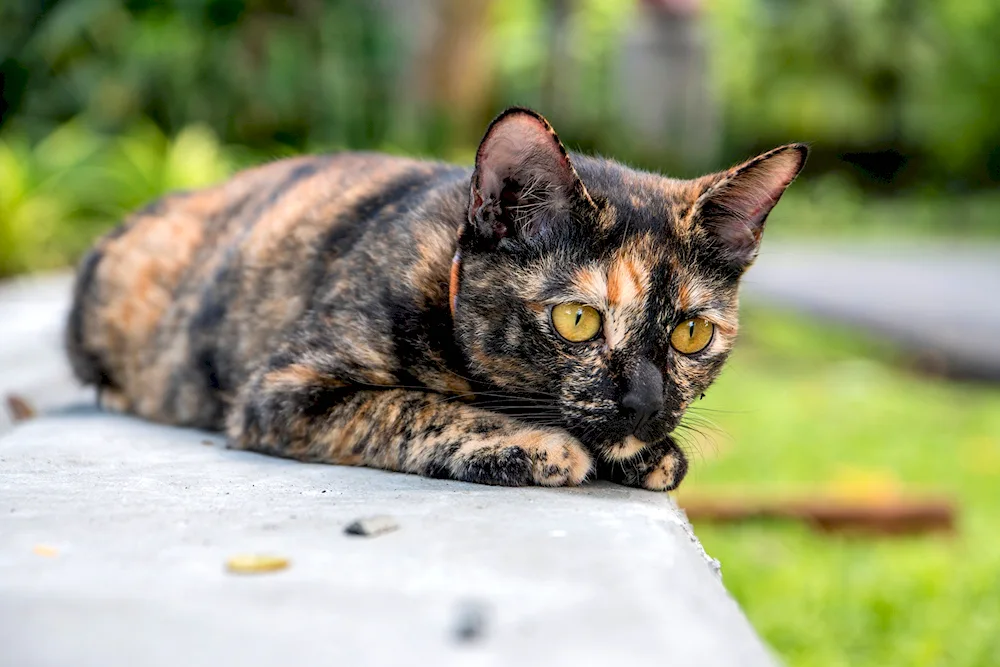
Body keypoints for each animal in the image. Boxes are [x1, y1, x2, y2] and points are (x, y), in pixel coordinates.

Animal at [64, 108, 804, 490]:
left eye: (691, 334)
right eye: (577, 319)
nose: (646, 403)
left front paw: (646, 449)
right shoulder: (284, 390)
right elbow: (413, 405)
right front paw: (539, 444)